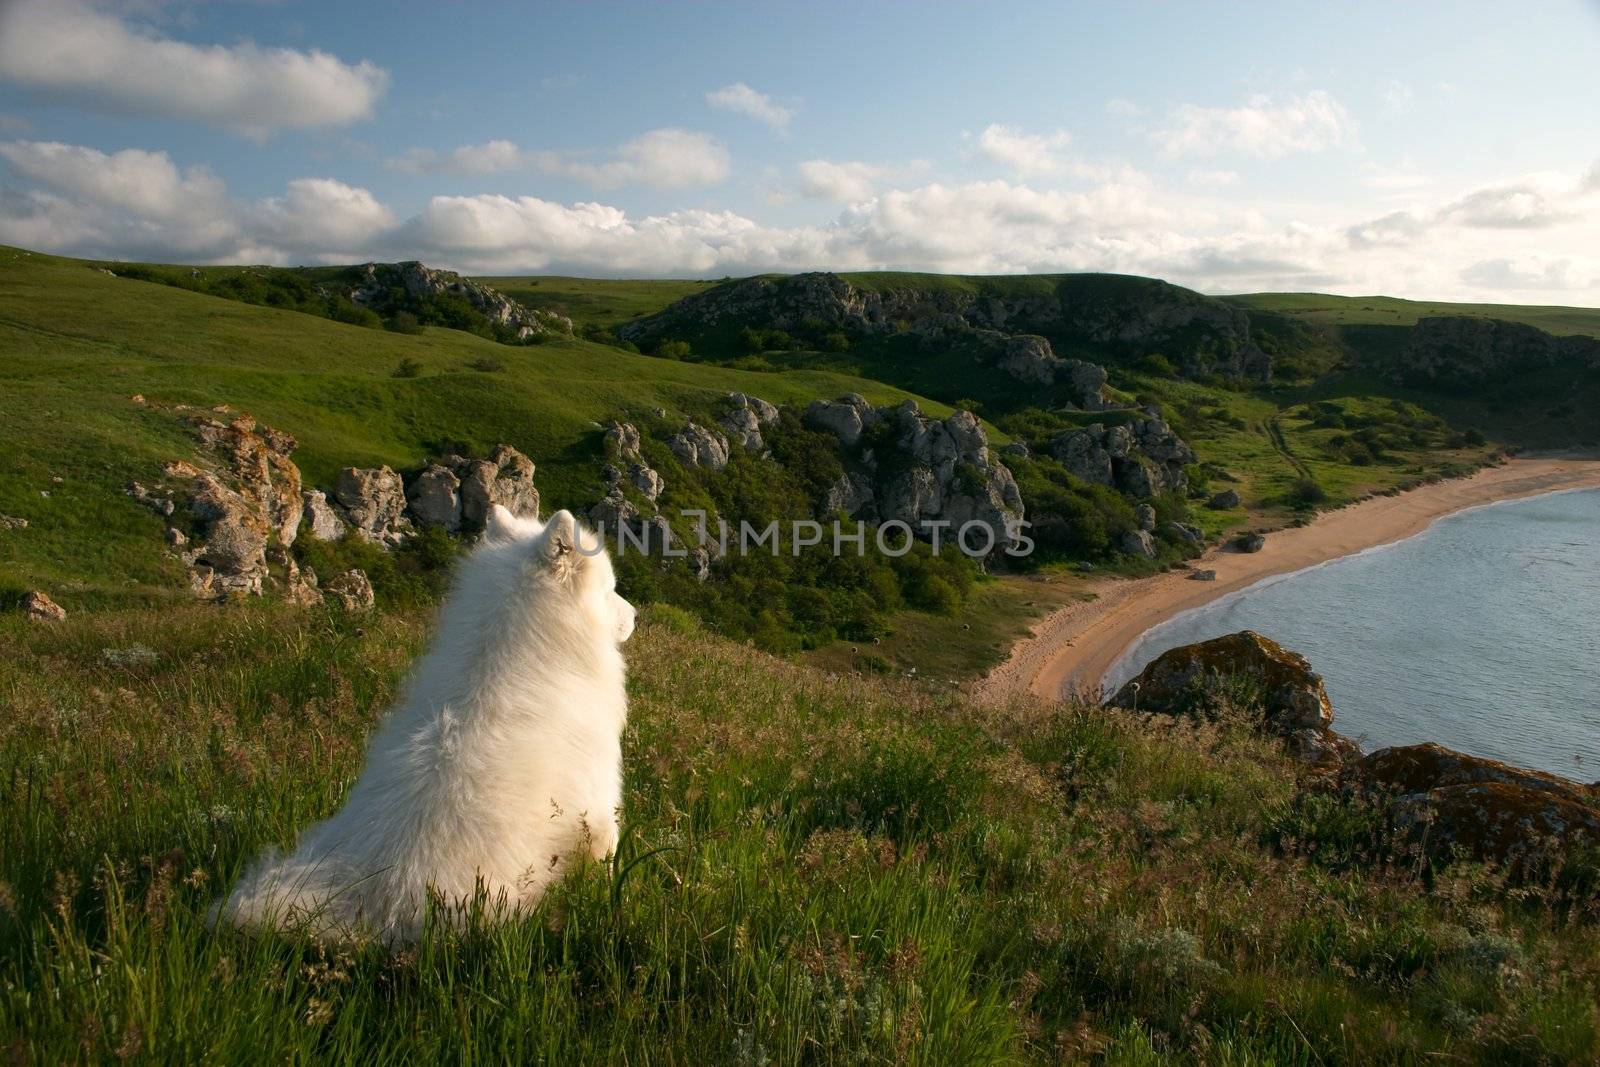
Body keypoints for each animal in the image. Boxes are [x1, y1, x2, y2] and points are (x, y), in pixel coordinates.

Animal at [214, 505, 636, 940]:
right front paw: (608, 909)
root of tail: (366, 905)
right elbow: (606, 874)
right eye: (610, 589)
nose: (636, 614)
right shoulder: (598, 809)